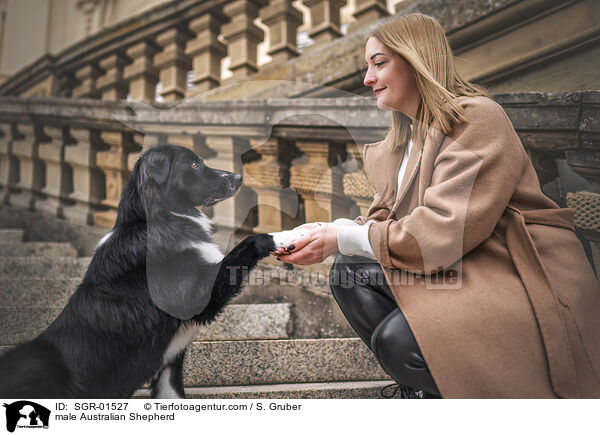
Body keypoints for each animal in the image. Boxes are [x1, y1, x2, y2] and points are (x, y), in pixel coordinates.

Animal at [0, 146, 286, 398]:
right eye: (194, 165)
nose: (239, 177)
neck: (157, 219)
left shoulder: (169, 363)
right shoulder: (196, 297)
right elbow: (243, 247)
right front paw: (277, 237)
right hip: (36, 361)